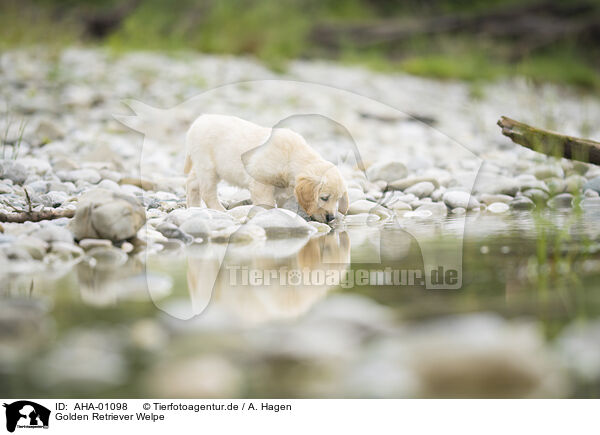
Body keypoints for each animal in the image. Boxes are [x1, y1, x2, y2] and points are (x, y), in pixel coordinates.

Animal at [185, 114, 350, 223]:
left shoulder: (286, 192)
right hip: (208, 167)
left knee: (192, 183)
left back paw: (193, 208)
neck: (291, 157)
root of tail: (199, 121)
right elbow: (267, 203)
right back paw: (220, 211)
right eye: (324, 198)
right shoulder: (260, 182)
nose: (331, 217)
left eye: (338, 199)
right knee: (207, 192)